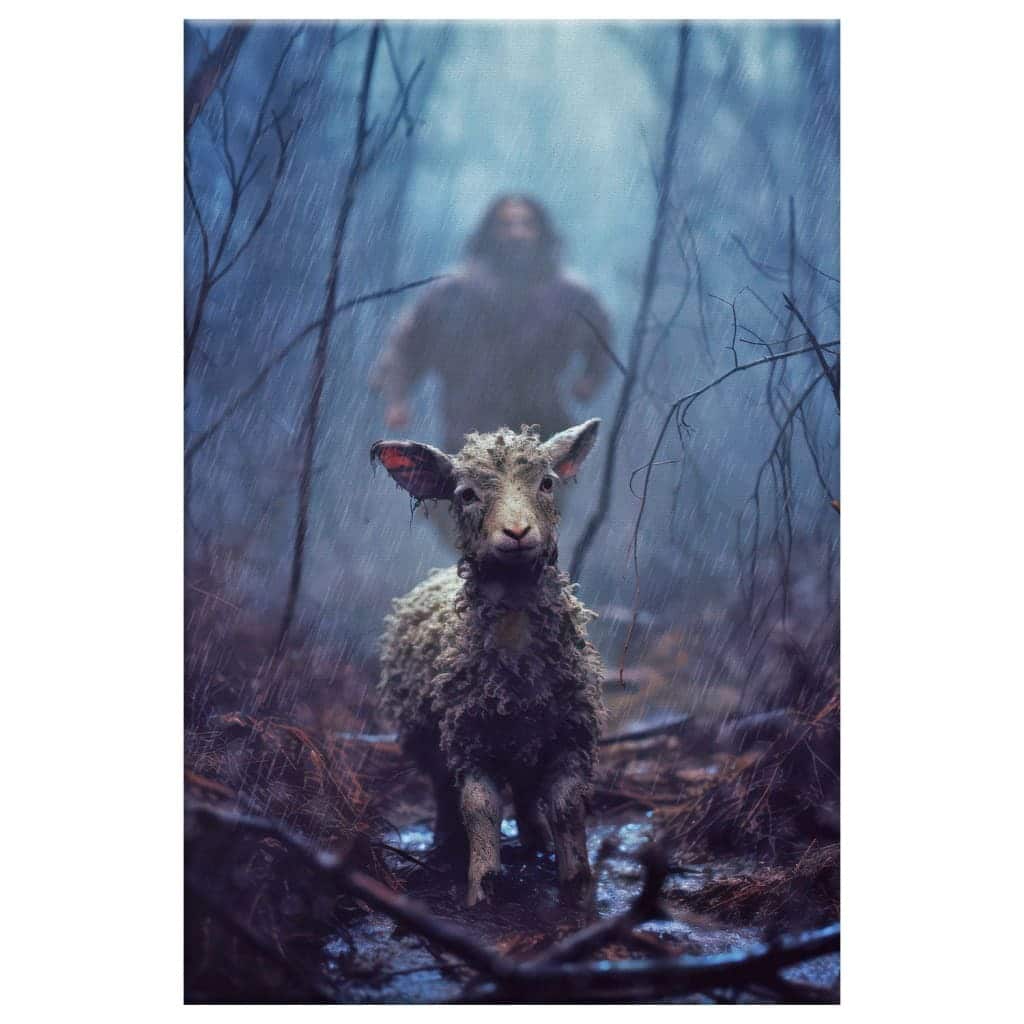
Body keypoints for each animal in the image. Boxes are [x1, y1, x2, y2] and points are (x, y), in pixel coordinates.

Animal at [370, 420, 605, 907]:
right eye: (466, 494)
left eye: (546, 483)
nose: (516, 532)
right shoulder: (470, 740)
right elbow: (480, 806)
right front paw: (481, 885)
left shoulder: (571, 734)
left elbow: (567, 804)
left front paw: (577, 883)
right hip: (430, 741)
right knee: (445, 792)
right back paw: (446, 843)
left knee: (529, 794)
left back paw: (537, 841)